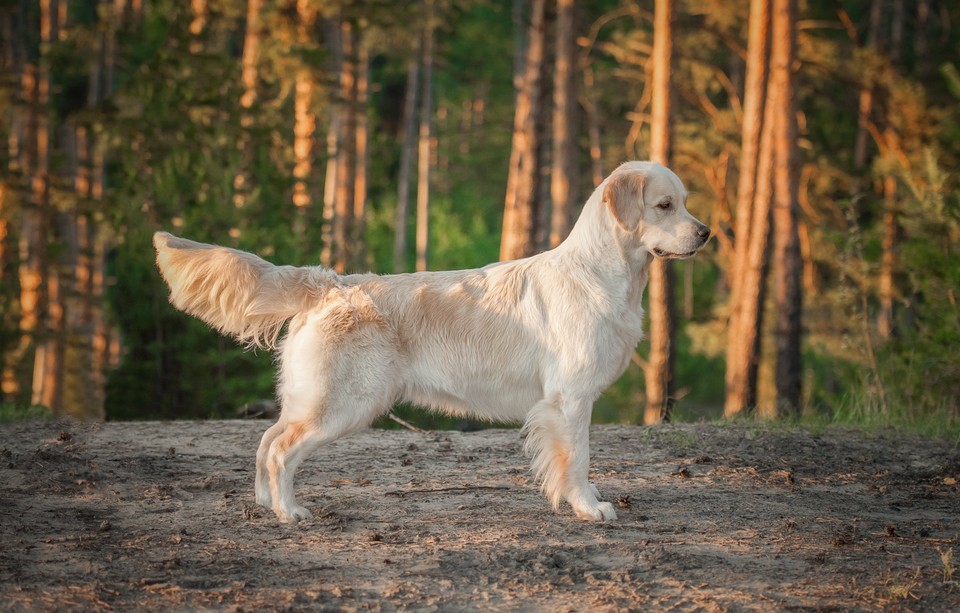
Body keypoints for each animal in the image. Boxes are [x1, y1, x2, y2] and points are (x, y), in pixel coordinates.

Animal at [156, 161, 712, 520]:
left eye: (685, 204)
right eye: (664, 205)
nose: (706, 232)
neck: (604, 273)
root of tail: (329, 282)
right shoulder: (569, 398)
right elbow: (576, 459)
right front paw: (588, 507)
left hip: (311, 397)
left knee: (266, 439)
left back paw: (264, 503)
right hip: (343, 403)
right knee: (280, 450)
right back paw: (289, 512)